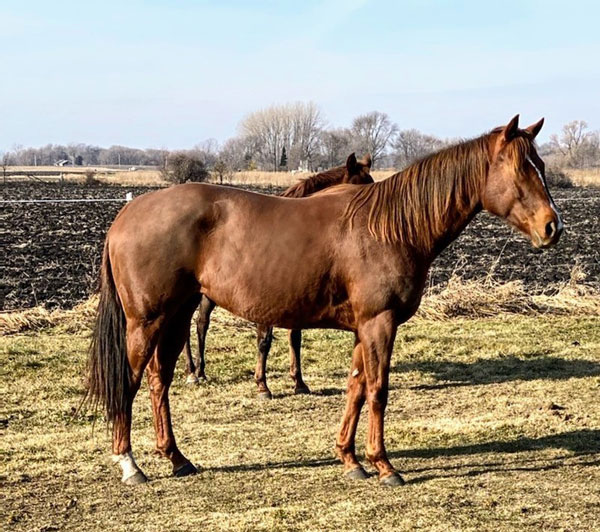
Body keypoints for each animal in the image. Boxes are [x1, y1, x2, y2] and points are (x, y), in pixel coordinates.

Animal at [183, 154, 372, 400]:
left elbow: (295, 338)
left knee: (201, 324)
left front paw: (299, 383)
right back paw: (191, 372)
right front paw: (262, 386)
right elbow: (264, 340)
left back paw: (201, 371)